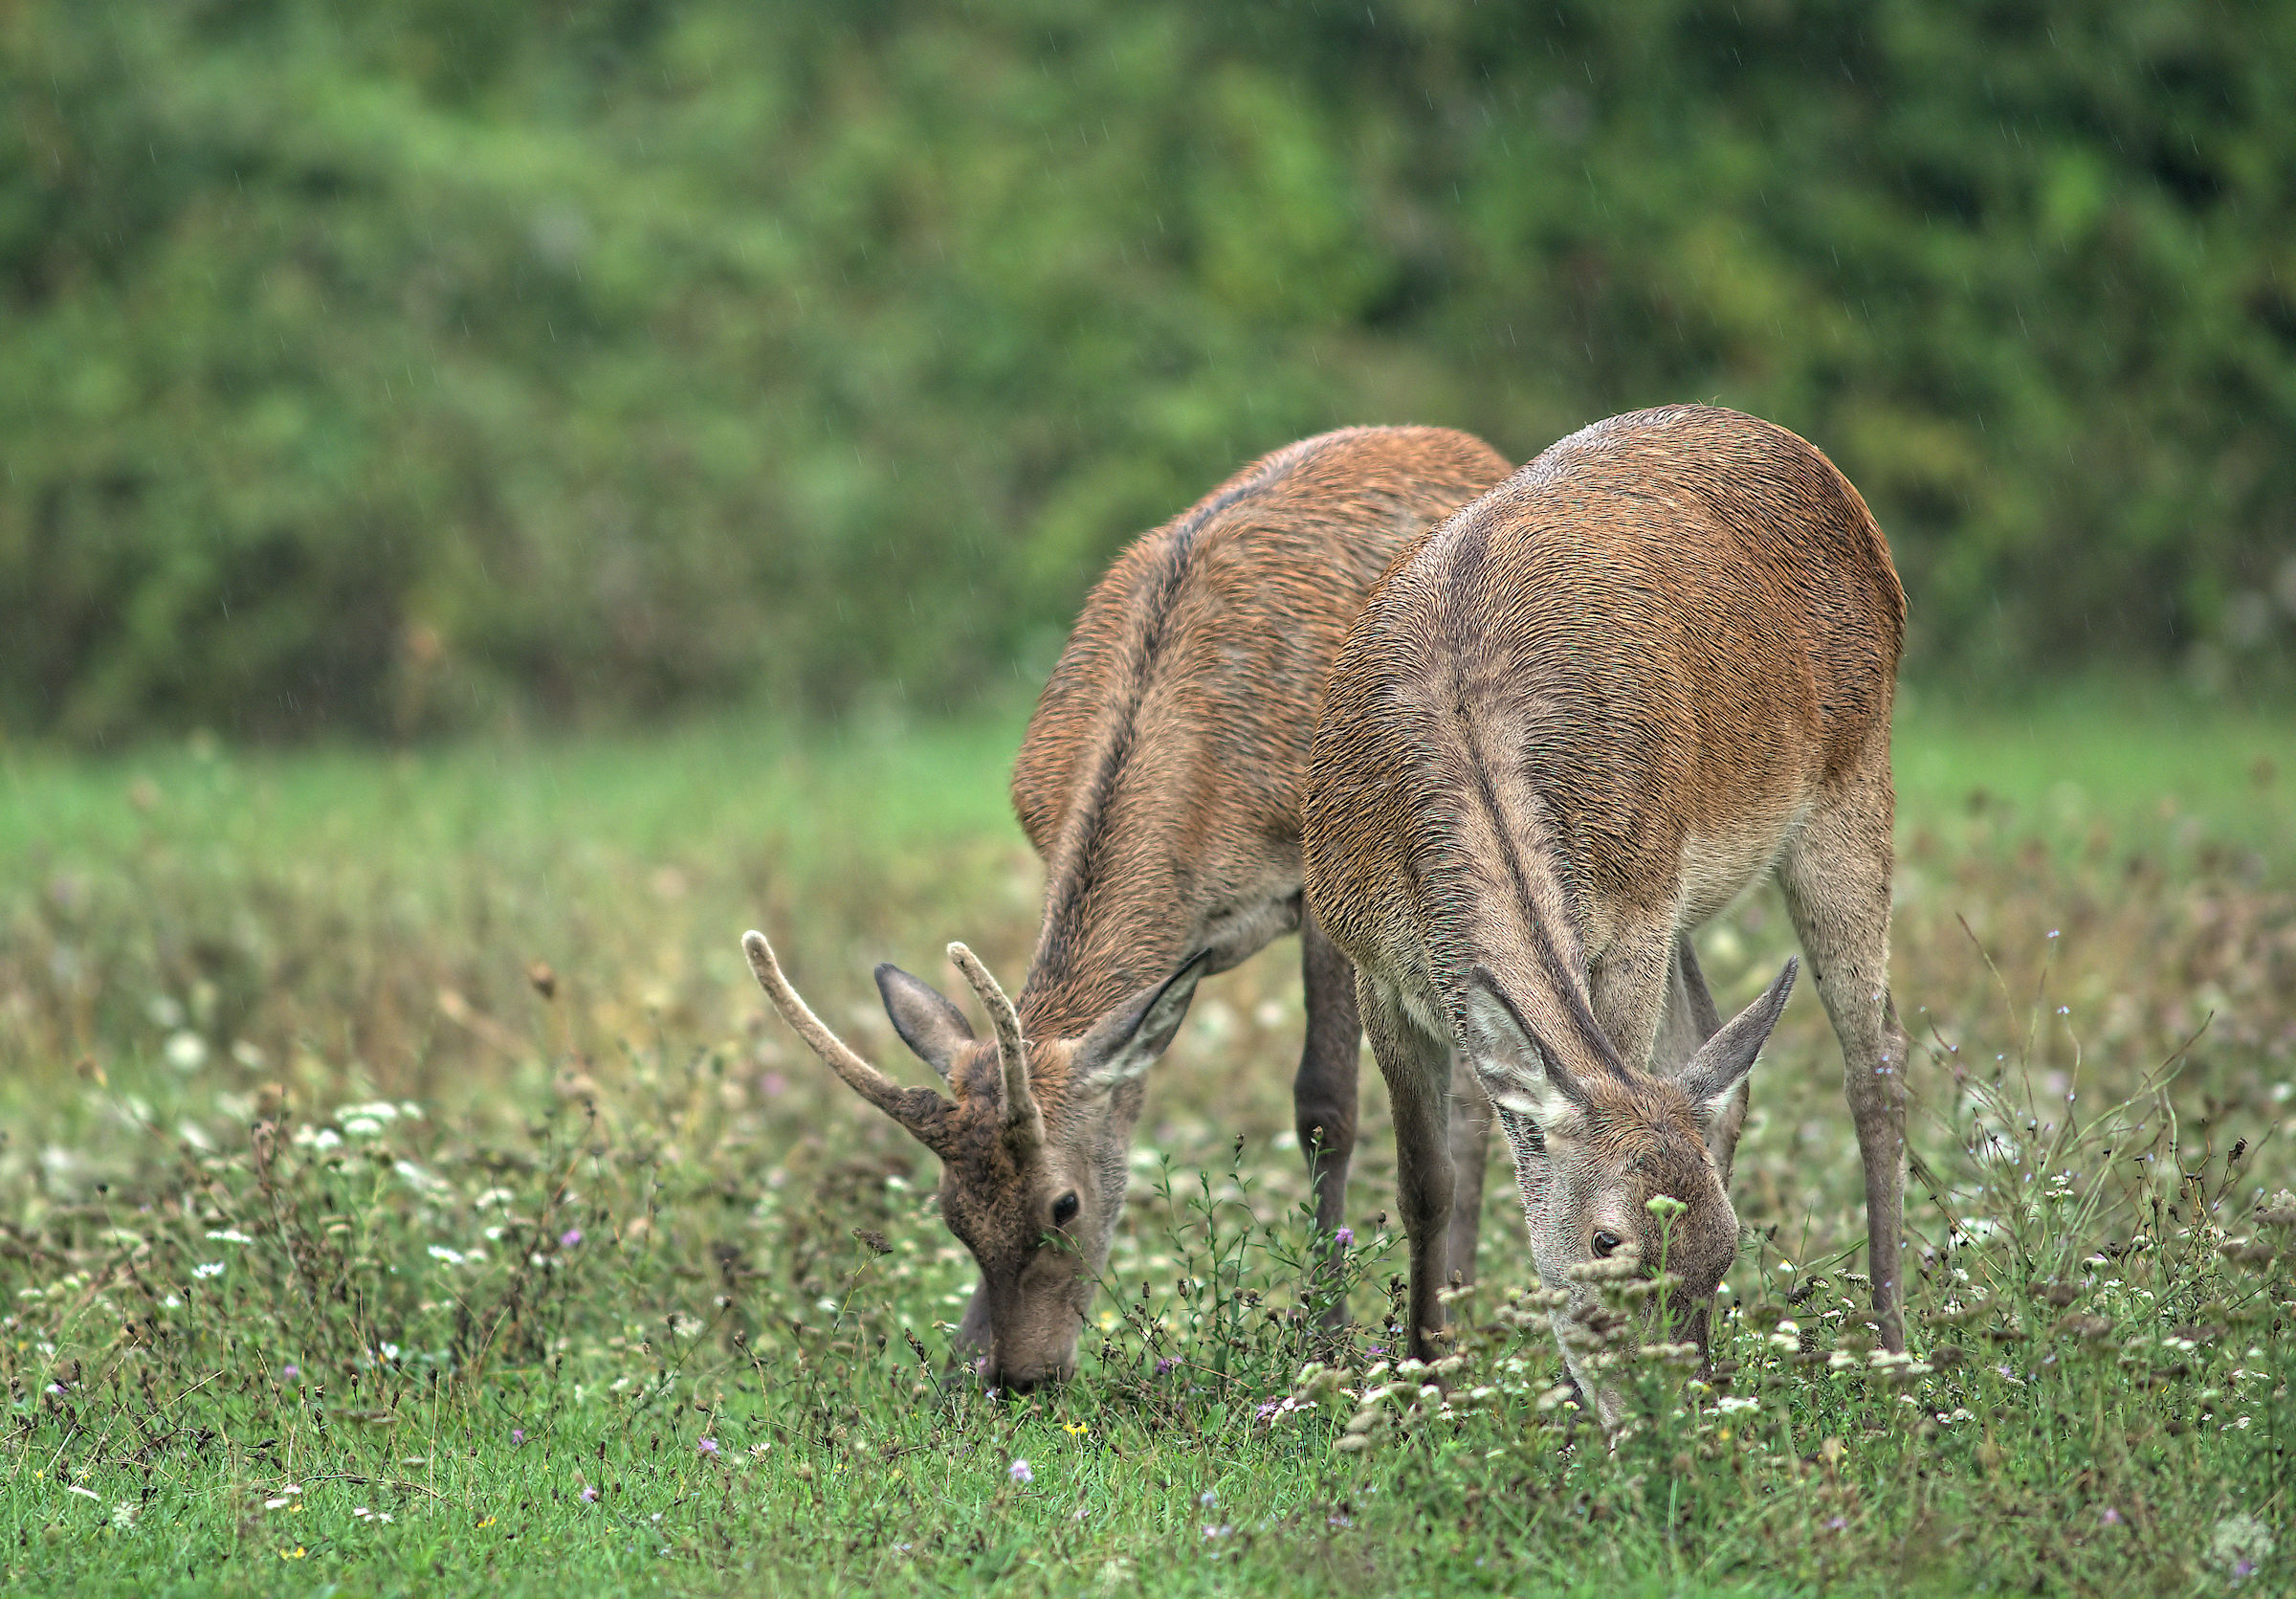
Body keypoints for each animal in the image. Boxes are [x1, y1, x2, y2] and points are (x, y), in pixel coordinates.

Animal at [1302, 404, 1909, 1427]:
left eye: (1725, 1249)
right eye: (1606, 1240)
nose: (1673, 1413)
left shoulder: (1628, 916)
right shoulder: (1369, 960)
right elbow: (1426, 1182)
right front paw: (1425, 1376)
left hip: (1851, 778)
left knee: (1878, 1061)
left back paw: (1896, 1342)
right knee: (1719, 1061)